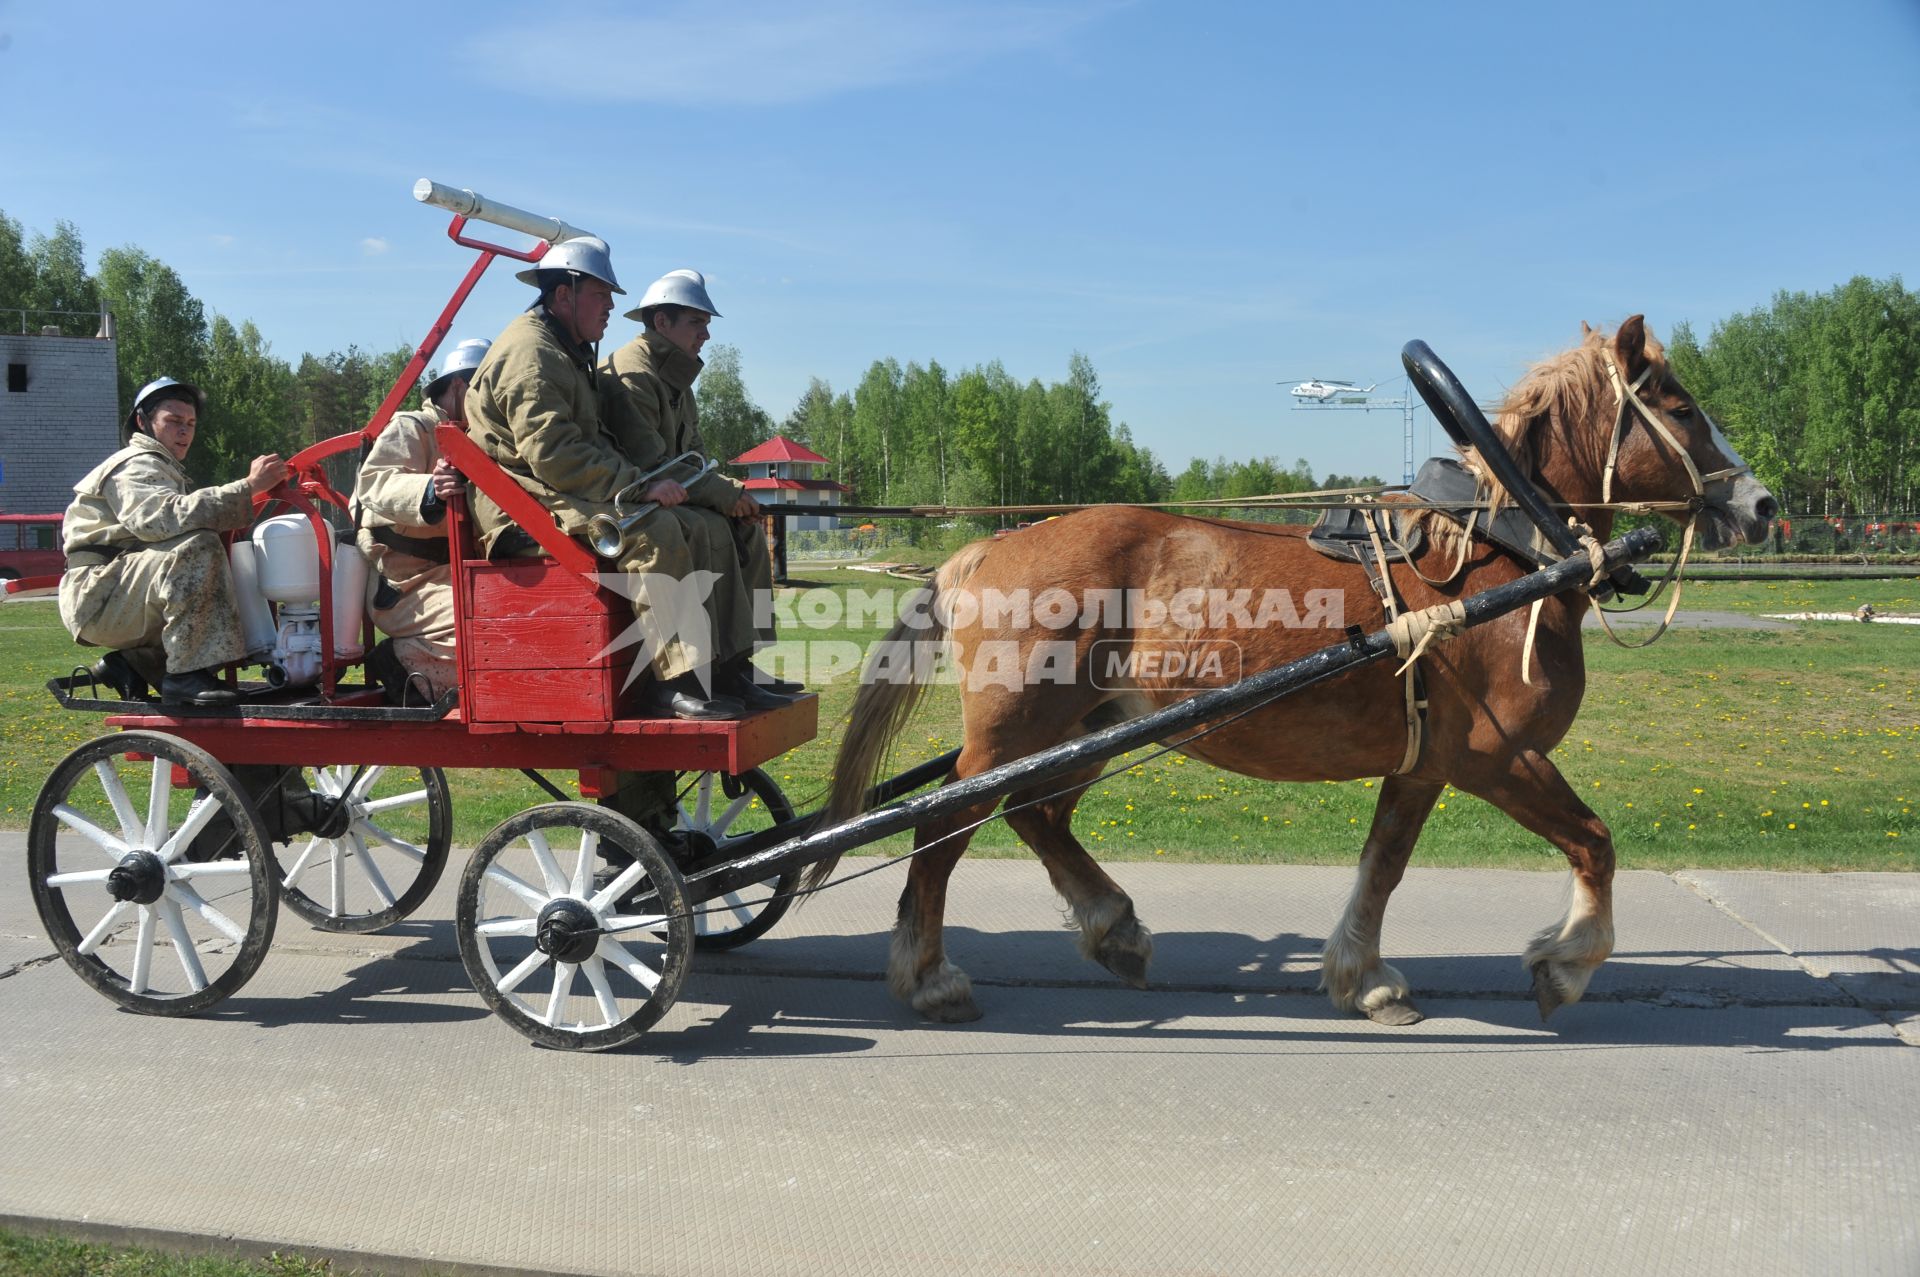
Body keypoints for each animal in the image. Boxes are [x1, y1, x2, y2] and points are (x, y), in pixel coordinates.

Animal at [829, 318, 1781, 1029]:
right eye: (1680, 407)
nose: (1760, 501)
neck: (1503, 549)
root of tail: (988, 545)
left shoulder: (1426, 763)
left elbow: (1384, 864)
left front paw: (1364, 976)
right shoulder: (1497, 757)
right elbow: (1595, 841)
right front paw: (1568, 962)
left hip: (1086, 727)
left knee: (1038, 816)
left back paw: (1114, 927)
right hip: (1012, 734)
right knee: (943, 826)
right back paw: (930, 976)